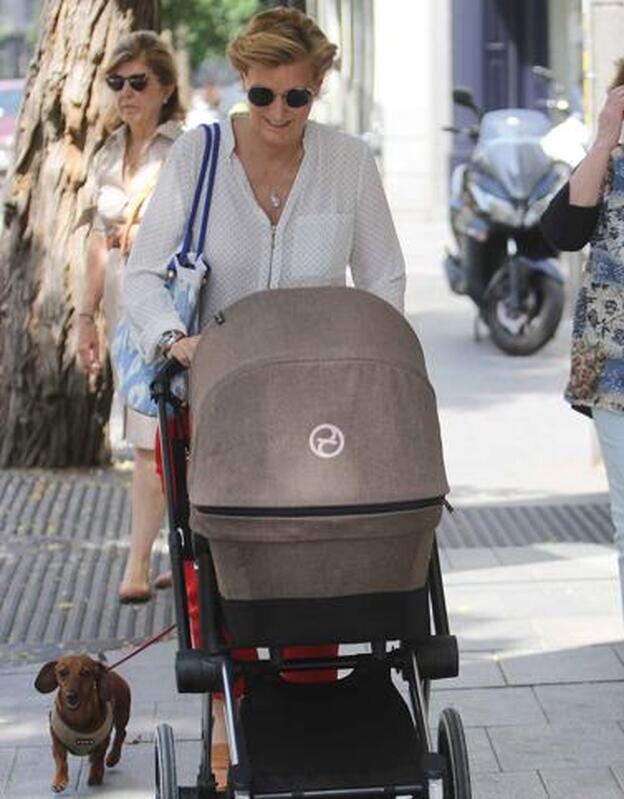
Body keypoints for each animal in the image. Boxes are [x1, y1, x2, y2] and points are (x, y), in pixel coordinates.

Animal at [34, 656, 131, 792]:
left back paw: (113, 758)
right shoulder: (57, 743)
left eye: (86, 672)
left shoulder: (103, 741)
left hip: (122, 714)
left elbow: (98, 758)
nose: (71, 696)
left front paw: (96, 775)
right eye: (62, 672)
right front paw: (59, 780)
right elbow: (61, 761)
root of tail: (111, 672)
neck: (78, 717)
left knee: (121, 734)